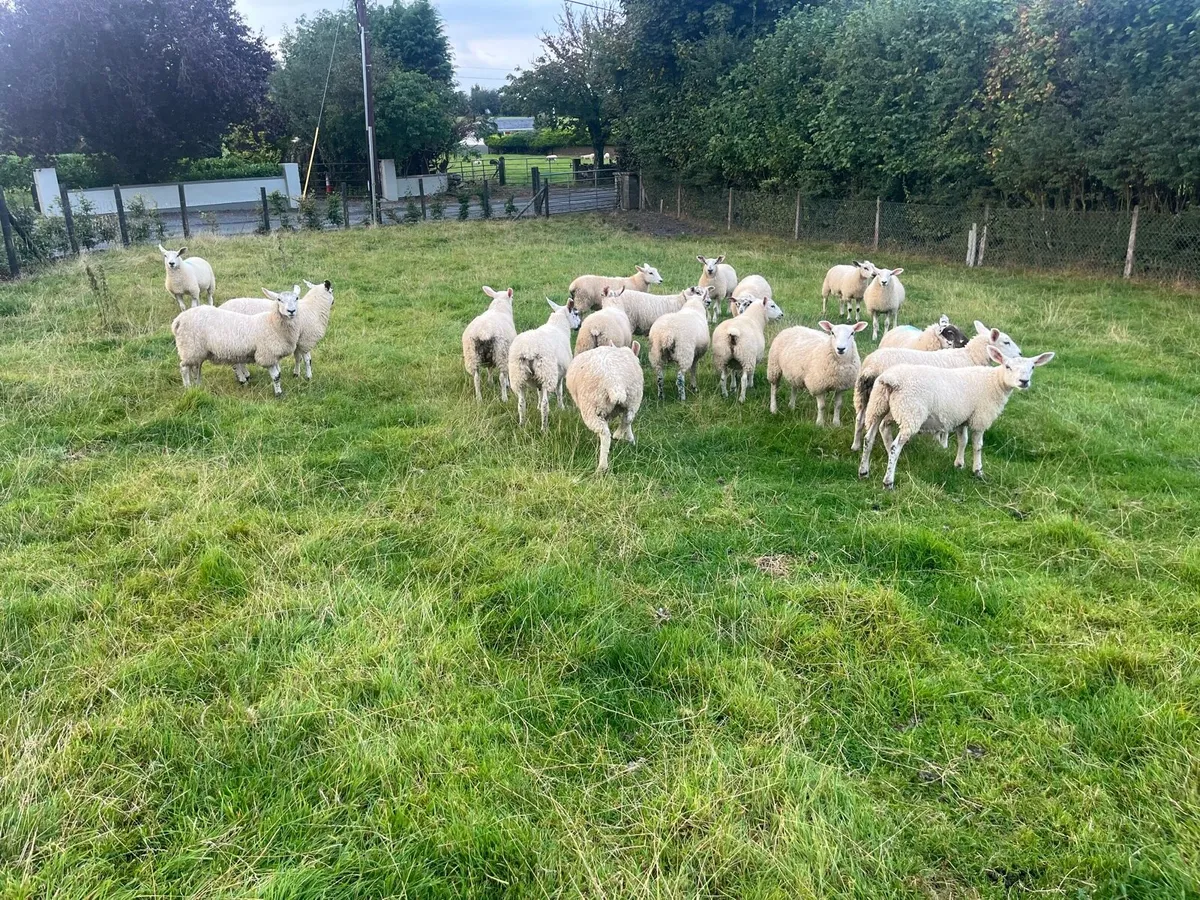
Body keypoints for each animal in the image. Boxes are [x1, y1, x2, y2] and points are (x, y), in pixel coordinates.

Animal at [171, 285, 301, 396]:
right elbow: (276, 376)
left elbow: (279, 373)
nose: (291, 311)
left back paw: (198, 386)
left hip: (197, 351)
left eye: (296, 298)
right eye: (279, 299)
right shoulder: (267, 355)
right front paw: (279, 394)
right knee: (184, 368)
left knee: (196, 368)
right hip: (189, 348)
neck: (272, 323)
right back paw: (188, 388)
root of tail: (178, 320)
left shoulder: (274, 355)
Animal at [508, 298, 582, 430]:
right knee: (545, 405)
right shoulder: (559, 374)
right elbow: (559, 391)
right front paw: (561, 408)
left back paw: (522, 425)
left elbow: (539, 392)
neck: (559, 326)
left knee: (521, 404)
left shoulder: (538, 378)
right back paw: (544, 428)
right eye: (576, 313)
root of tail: (529, 350)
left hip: (518, 376)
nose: (580, 325)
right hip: (547, 372)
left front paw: (537, 406)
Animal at [566, 341, 644, 474]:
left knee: (605, 433)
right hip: (633, 398)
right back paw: (620, 435)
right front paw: (631, 440)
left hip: (591, 406)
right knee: (627, 419)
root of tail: (614, 382)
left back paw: (602, 466)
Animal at [850, 320, 1023, 451]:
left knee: (860, 419)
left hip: (865, 397)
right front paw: (943, 444)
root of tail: (871, 367)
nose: (1021, 354)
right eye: (1006, 341)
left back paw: (856, 446)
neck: (970, 356)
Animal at [857, 348, 1056, 488]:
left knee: (870, 437)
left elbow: (963, 441)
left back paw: (863, 471)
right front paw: (978, 470)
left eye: (1032, 367)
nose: (1024, 382)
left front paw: (959, 464)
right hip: (910, 413)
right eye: (1008, 366)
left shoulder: (962, 418)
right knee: (894, 447)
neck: (994, 383)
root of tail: (891, 380)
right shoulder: (980, 418)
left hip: (879, 406)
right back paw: (888, 481)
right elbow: (977, 445)